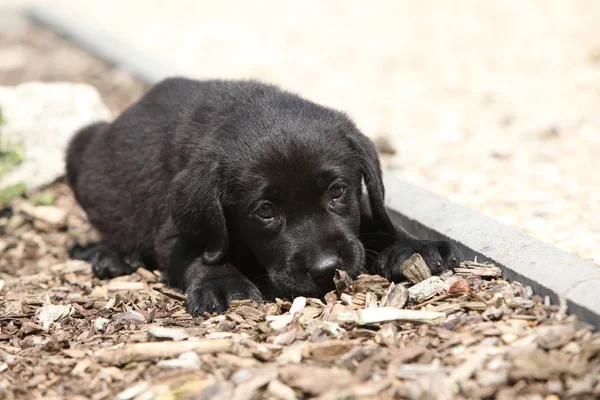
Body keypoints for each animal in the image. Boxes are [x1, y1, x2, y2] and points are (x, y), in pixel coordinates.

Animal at [65, 79, 462, 316]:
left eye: (337, 191)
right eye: (265, 211)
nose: (327, 268)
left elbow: (374, 222)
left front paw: (414, 246)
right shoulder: (174, 231)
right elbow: (202, 254)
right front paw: (224, 284)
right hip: (79, 144)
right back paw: (111, 254)